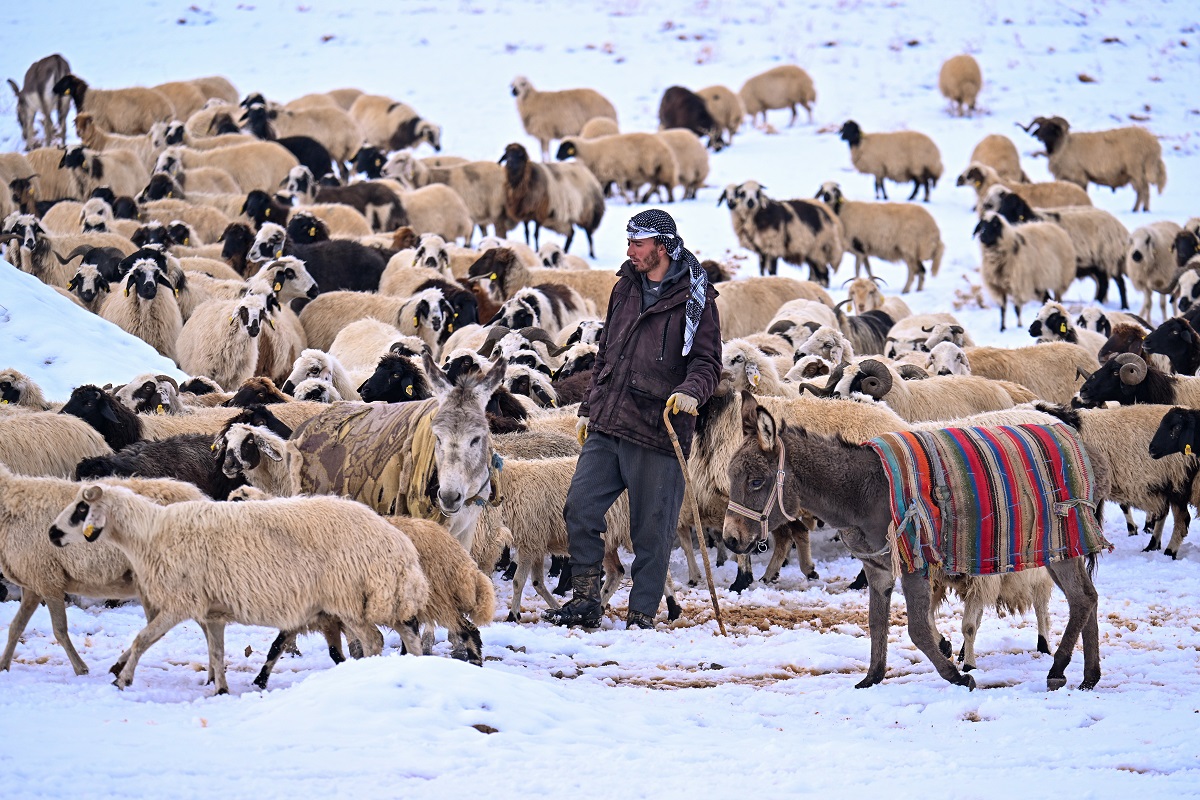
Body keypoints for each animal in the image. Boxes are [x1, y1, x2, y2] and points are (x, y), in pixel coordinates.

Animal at [0, 465, 202, 681]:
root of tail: (198, 496)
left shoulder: (48, 578)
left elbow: (59, 629)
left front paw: (80, 668)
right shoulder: (33, 583)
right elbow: (16, 626)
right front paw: (4, 665)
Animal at [49, 482, 432, 695]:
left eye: (81, 508)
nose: (52, 533)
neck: (150, 535)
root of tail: (400, 546)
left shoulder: (179, 603)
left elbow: (142, 639)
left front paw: (122, 680)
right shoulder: (212, 611)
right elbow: (216, 652)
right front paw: (220, 688)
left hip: (351, 599)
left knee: (374, 640)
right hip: (380, 599)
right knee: (408, 635)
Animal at [1017, 115, 1166, 212]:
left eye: (1052, 128)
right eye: (1041, 126)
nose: (1039, 136)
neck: (1063, 146)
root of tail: (1154, 144)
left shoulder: (1079, 175)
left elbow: (1083, 191)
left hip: (1136, 168)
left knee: (1144, 189)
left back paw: (1144, 210)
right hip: (1134, 172)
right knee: (1140, 191)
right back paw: (1135, 209)